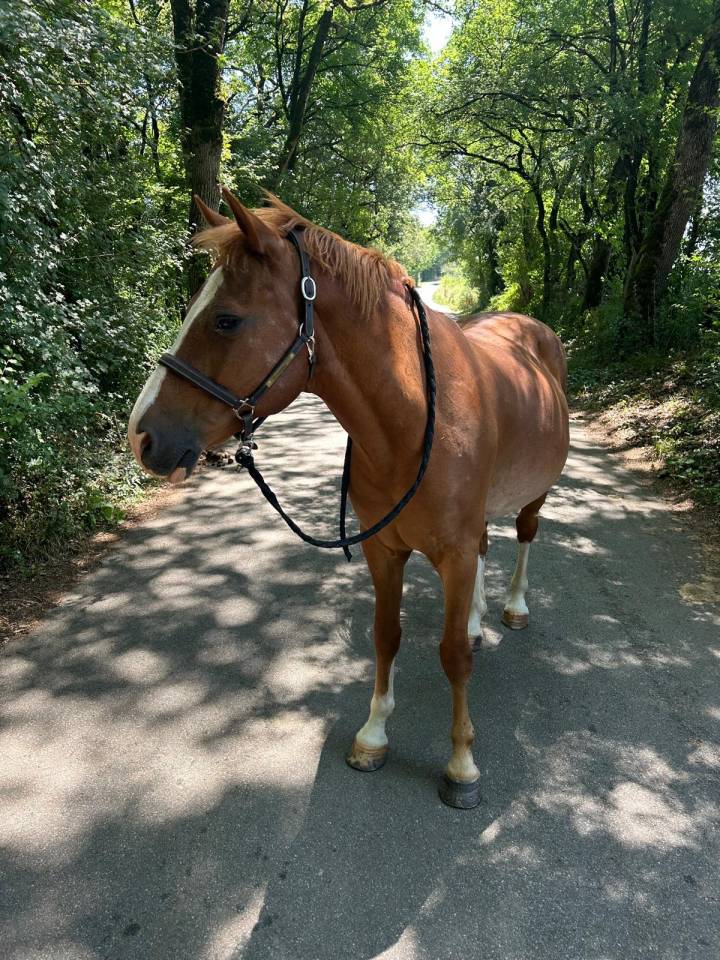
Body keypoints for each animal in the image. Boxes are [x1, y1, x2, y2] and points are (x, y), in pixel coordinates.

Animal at [128, 188, 569, 809]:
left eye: (226, 319)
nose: (140, 436)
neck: (415, 420)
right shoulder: (383, 551)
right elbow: (386, 637)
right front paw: (373, 735)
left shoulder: (453, 554)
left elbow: (452, 657)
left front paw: (461, 764)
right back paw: (478, 620)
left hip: (536, 495)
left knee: (526, 537)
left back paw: (512, 608)